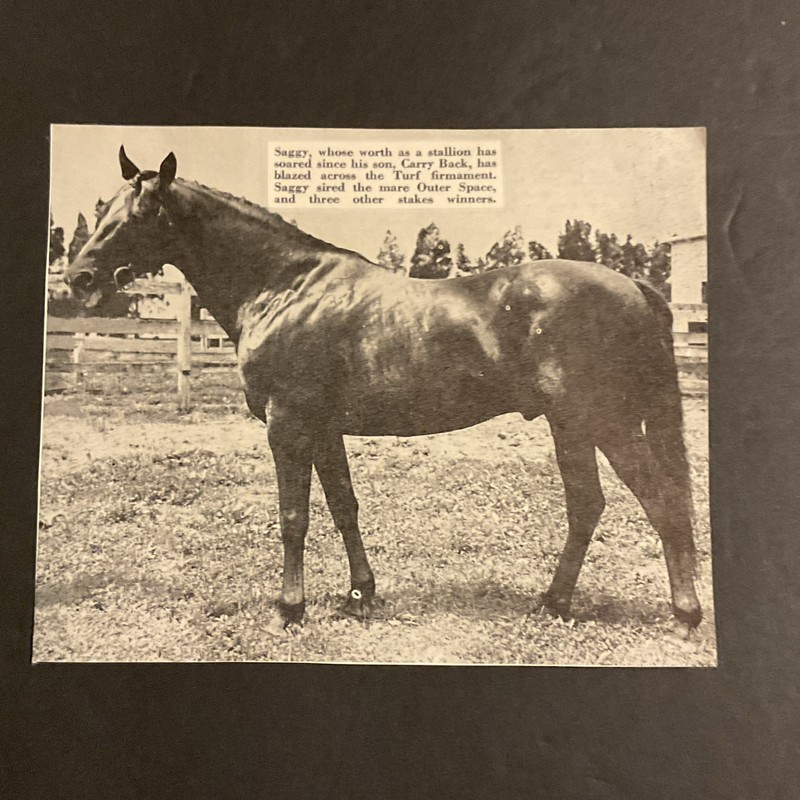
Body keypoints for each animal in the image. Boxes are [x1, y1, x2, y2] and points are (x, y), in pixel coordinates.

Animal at [63, 147, 702, 632]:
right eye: (107, 209)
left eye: (140, 213)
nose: (79, 277)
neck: (284, 287)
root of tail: (634, 287)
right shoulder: (323, 428)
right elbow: (344, 507)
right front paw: (360, 596)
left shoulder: (288, 425)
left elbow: (293, 516)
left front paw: (289, 610)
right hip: (571, 426)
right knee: (587, 505)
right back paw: (553, 604)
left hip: (605, 423)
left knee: (660, 501)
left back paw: (684, 615)